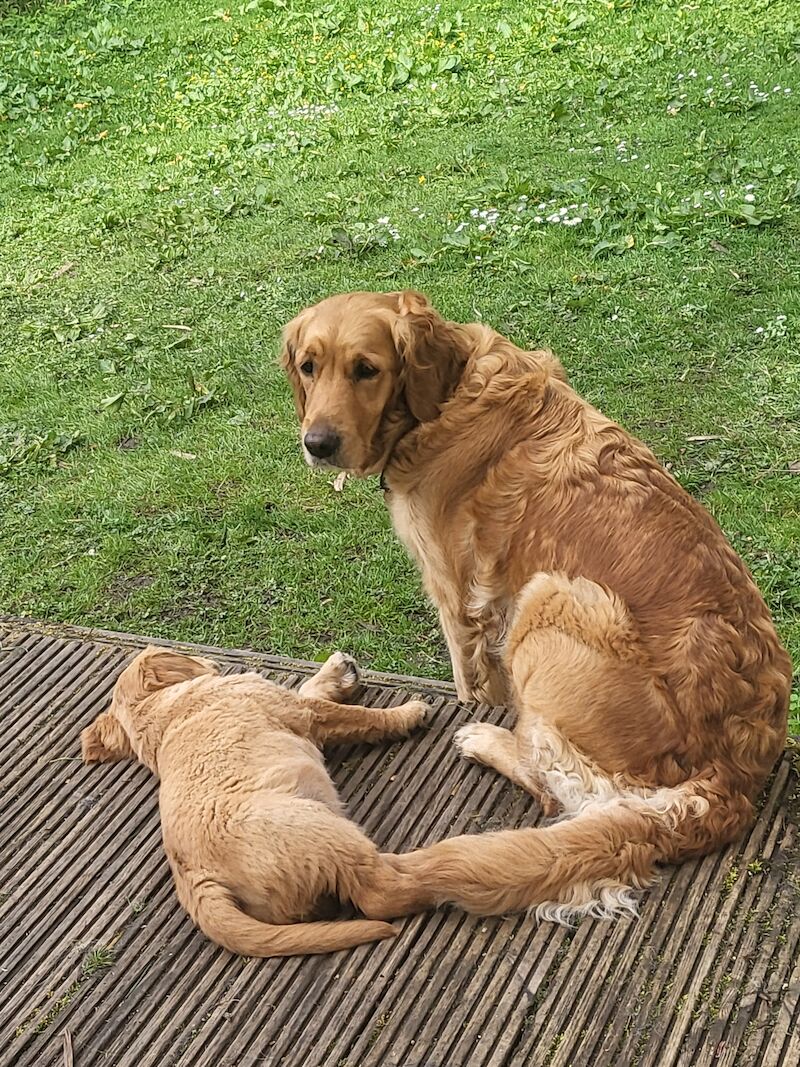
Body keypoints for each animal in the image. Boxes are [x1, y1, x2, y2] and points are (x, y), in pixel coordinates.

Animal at [82, 644, 428, 956]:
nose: (211, 662)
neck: (157, 713)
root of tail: (196, 877)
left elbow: (310, 688)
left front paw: (338, 670)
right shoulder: (303, 712)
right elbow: (358, 716)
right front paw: (409, 713)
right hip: (317, 826)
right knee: (382, 894)